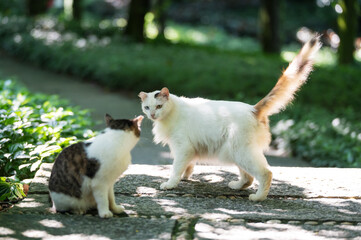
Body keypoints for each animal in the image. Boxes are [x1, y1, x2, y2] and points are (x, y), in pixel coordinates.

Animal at [139, 37, 320, 202]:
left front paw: (170, 184)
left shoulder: (183, 148)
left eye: (159, 106)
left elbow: (175, 169)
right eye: (147, 108)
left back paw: (258, 197)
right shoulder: (189, 150)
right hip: (236, 153)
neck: (172, 112)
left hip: (241, 152)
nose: (152, 115)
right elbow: (188, 166)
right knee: (248, 178)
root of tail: (254, 108)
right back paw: (237, 186)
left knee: (265, 173)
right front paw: (185, 177)